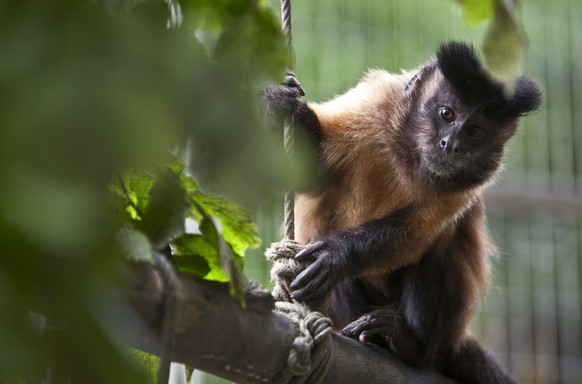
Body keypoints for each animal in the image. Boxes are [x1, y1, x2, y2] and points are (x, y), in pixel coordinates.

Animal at [264, 40, 544, 382]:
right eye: (447, 114)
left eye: (475, 131)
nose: (451, 144)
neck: (409, 153)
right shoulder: (376, 102)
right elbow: (309, 173)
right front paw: (278, 101)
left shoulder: (470, 182)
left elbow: (416, 234)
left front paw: (336, 256)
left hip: (444, 334)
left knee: (438, 247)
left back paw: (408, 346)